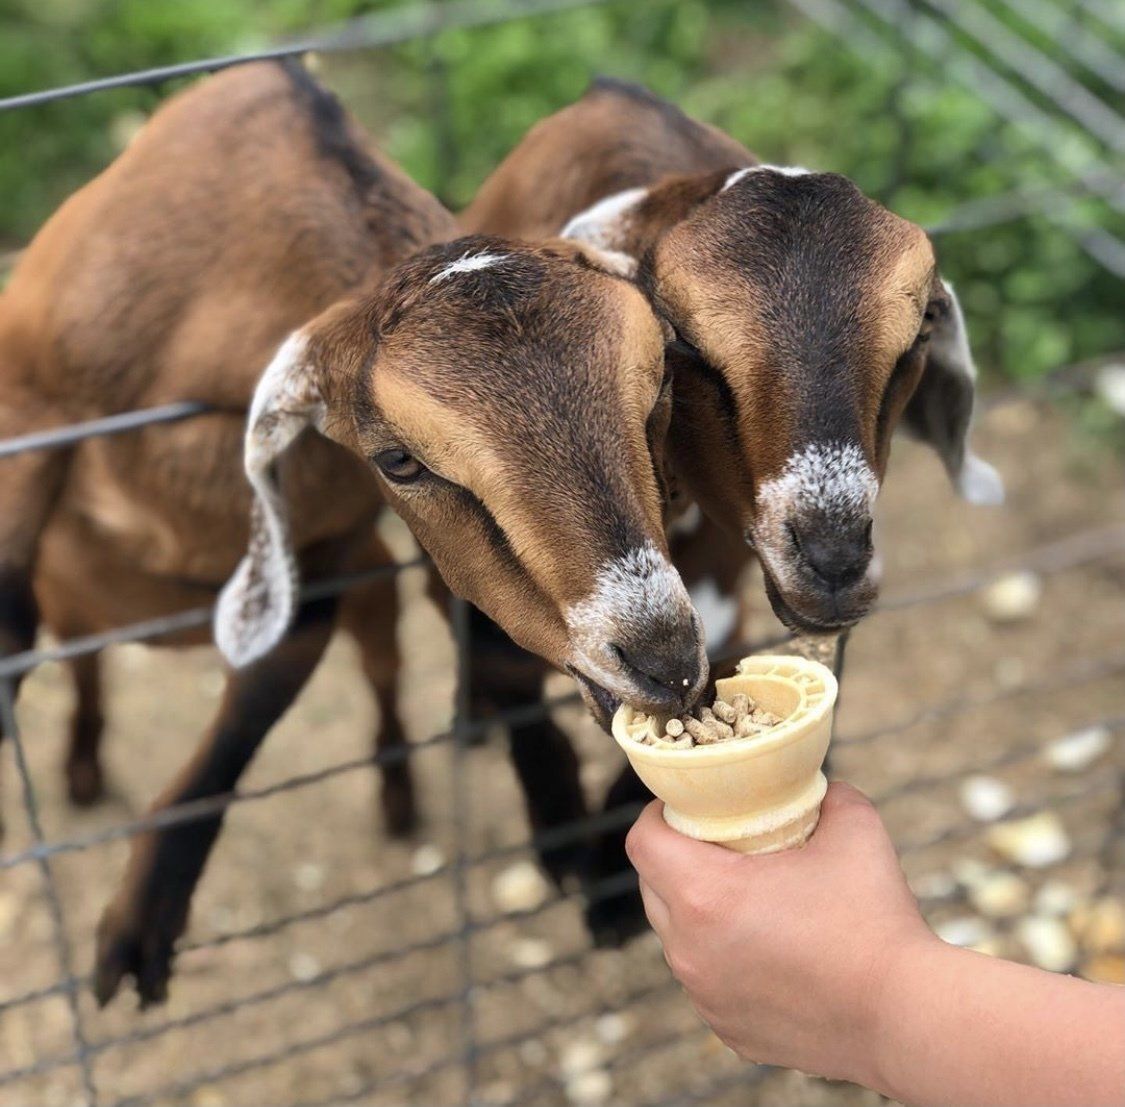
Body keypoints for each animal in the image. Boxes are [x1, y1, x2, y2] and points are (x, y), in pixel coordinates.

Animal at [0, 63, 705, 1006]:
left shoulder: (331, 550)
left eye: (656, 388)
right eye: (399, 459)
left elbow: (267, 684)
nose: (665, 658)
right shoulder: (27, 412)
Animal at [459, 78, 1004, 942]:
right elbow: (507, 667)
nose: (833, 558)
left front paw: (614, 886)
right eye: (686, 345)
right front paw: (560, 841)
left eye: (914, 338)